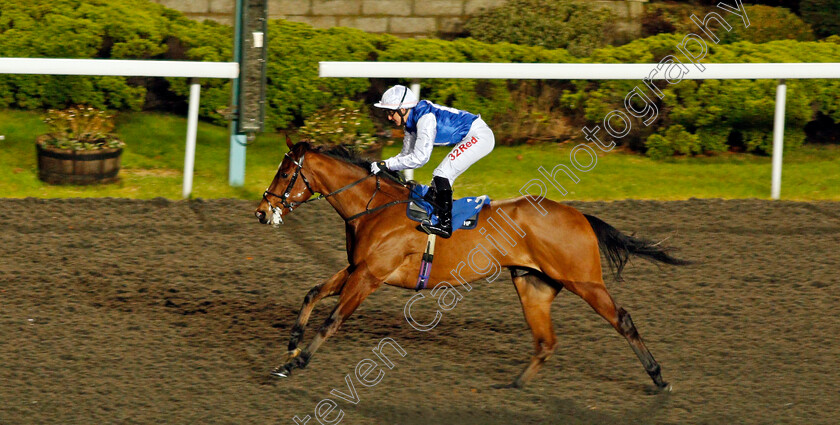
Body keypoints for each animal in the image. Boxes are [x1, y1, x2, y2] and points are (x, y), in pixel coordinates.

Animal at [256, 138, 688, 388]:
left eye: (285, 172)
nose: (261, 211)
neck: (375, 207)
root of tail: (580, 215)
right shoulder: (356, 268)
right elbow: (313, 292)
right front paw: (292, 344)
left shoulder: (371, 275)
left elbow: (333, 319)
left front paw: (294, 364)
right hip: (533, 285)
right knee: (546, 341)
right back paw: (514, 385)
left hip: (585, 280)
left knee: (623, 320)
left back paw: (659, 378)